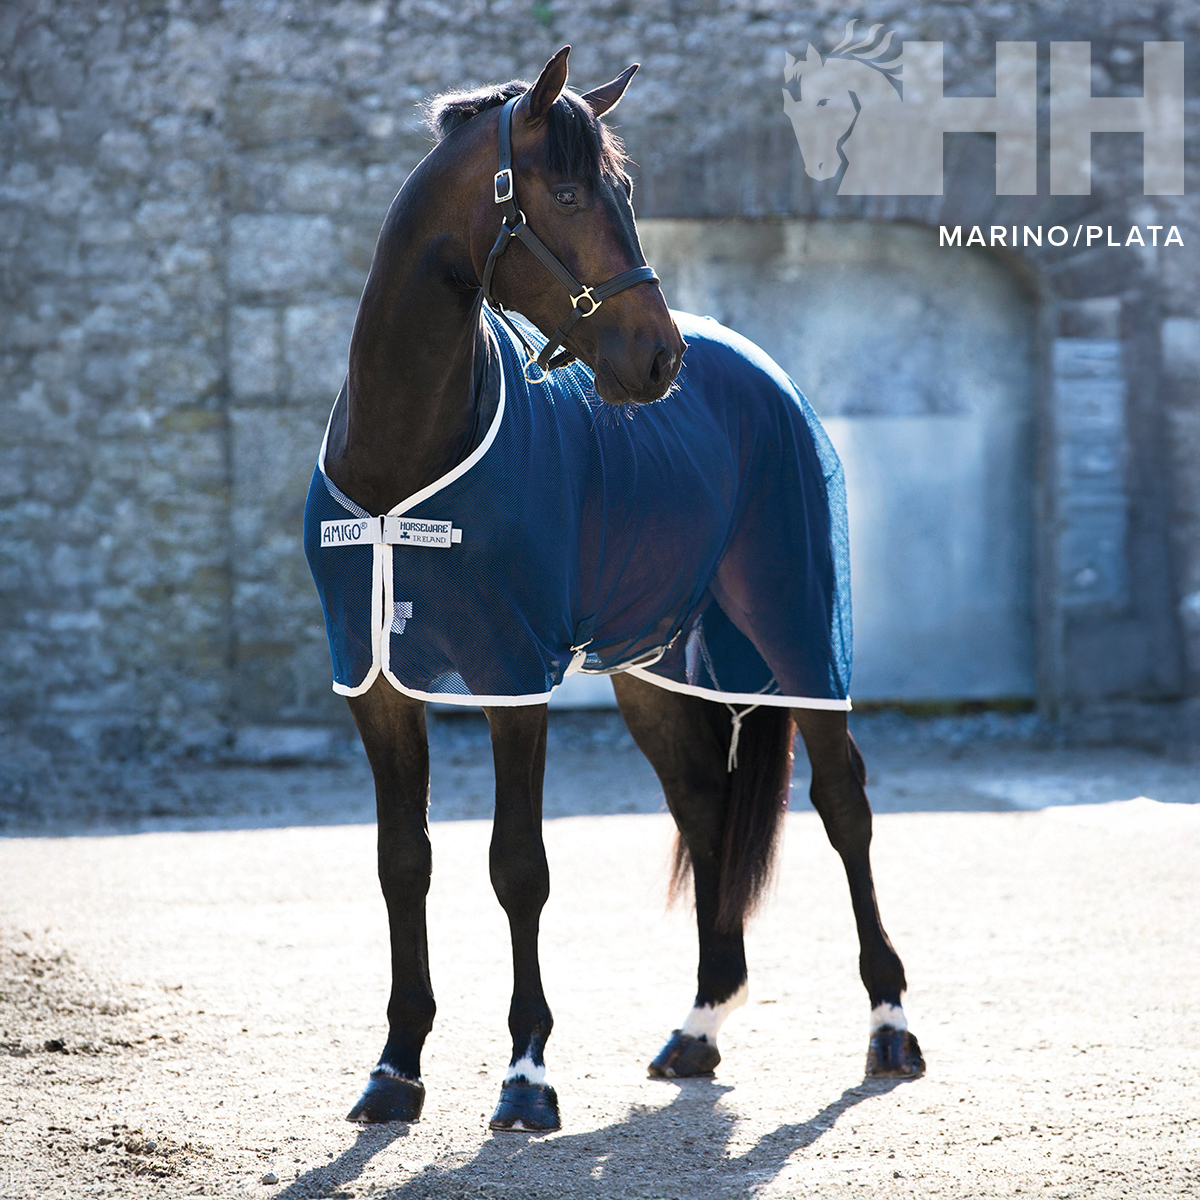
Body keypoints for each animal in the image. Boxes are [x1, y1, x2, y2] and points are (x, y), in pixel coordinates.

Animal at [305, 45, 924, 1133]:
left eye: (624, 193)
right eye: (563, 192)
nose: (658, 355)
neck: (402, 462)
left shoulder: (513, 676)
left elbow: (518, 868)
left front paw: (526, 1076)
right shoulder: (375, 683)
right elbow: (402, 862)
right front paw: (395, 1070)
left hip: (802, 629)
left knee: (843, 804)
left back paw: (890, 1027)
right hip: (654, 668)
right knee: (705, 806)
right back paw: (699, 1026)